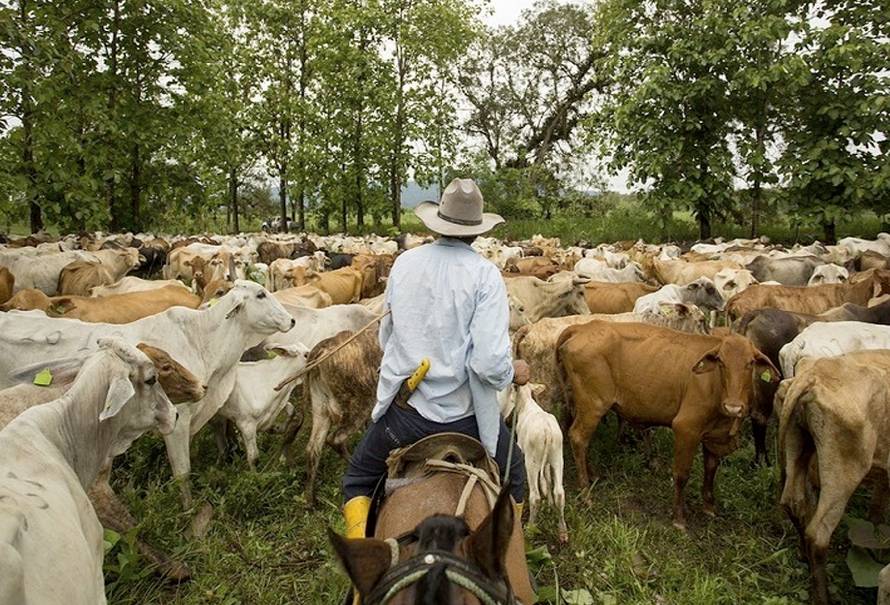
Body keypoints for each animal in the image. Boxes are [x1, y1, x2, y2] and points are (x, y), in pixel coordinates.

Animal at [556, 320, 776, 528]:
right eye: (721, 362)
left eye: (750, 363)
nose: (733, 407)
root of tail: (583, 327)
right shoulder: (686, 428)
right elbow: (681, 474)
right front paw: (679, 518)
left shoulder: (714, 436)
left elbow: (711, 470)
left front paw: (709, 507)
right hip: (593, 405)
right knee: (578, 437)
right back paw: (586, 494)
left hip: (577, 403)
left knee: (577, 437)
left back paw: (592, 476)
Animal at [772, 350, 888, 604]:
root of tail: (814, 376)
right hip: (842, 474)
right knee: (818, 533)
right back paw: (822, 597)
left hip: (799, 447)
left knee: (795, 504)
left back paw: (803, 556)